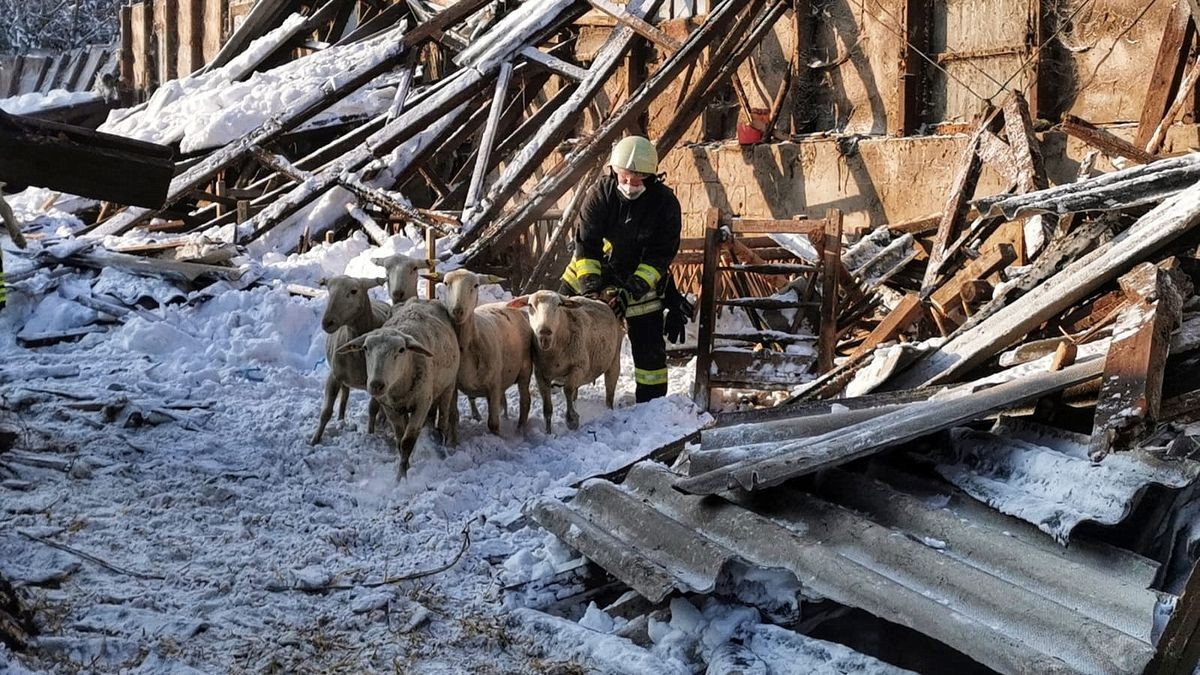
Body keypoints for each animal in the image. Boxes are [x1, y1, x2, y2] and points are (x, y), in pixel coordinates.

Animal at [309, 273, 388, 441]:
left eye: (353, 291)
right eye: (329, 290)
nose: (327, 322)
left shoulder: (376, 381)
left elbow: (372, 409)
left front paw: (370, 434)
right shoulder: (334, 376)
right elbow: (326, 412)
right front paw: (315, 440)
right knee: (345, 394)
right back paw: (341, 420)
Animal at [345, 296, 465, 475]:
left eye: (401, 350)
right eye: (365, 348)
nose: (376, 385)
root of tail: (421, 299)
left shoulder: (422, 403)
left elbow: (407, 441)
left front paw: (401, 476)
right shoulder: (389, 407)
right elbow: (400, 440)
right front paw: (404, 466)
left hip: (448, 386)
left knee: (443, 420)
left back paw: (443, 446)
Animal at [444, 267, 532, 429]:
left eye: (476, 285)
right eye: (446, 283)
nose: (457, 311)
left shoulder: (494, 384)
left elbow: (493, 423)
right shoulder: (452, 388)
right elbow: (453, 418)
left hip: (525, 369)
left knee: (525, 401)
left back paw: (520, 428)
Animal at [504, 289, 624, 429]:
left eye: (559, 305)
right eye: (530, 305)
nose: (544, 333)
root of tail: (603, 302)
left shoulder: (579, 367)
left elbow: (568, 389)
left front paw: (572, 419)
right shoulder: (540, 374)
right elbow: (547, 409)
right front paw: (548, 431)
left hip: (614, 358)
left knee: (609, 389)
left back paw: (609, 411)